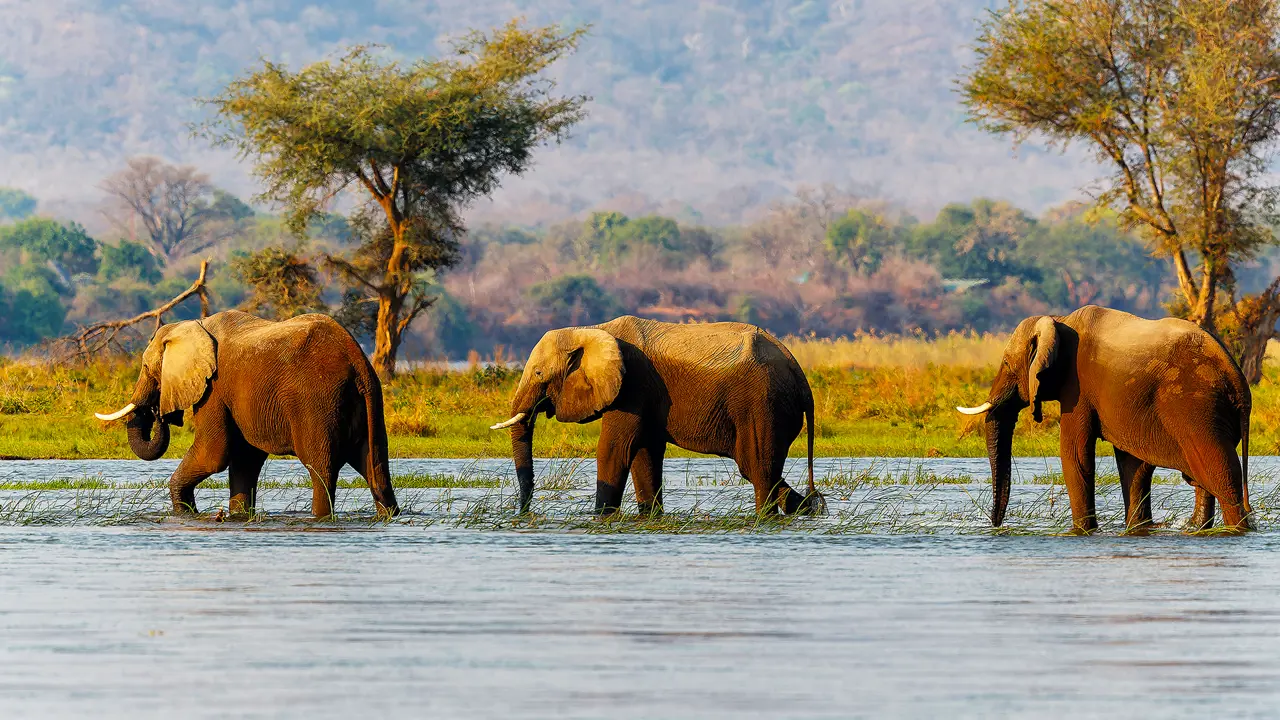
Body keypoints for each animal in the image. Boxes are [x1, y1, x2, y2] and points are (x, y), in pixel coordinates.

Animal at [92, 308, 394, 515]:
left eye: (145, 367)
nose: (158, 412)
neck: (193, 326)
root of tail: (357, 360)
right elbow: (245, 459)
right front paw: (238, 516)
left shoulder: (214, 389)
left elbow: (213, 454)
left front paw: (185, 514)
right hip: (368, 403)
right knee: (374, 465)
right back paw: (388, 515)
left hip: (317, 403)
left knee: (321, 469)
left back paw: (320, 517)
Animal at [483, 313, 824, 515]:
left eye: (539, 373)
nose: (523, 512)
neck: (593, 331)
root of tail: (799, 372)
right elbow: (644, 454)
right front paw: (649, 518)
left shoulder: (633, 385)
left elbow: (615, 450)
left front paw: (601, 518)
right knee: (759, 470)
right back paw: (812, 510)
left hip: (762, 405)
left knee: (758, 469)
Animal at [962, 303, 1249, 532]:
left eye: (1007, 364)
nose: (996, 525)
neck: (1059, 320)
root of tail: (1238, 380)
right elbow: (1133, 464)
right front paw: (1137, 529)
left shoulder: (1078, 388)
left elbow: (1075, 455)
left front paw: (1082, 531)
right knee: (1203, 477)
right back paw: (1197, 528)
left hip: (1196, 407)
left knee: (1220, 474)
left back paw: (1237, 529)